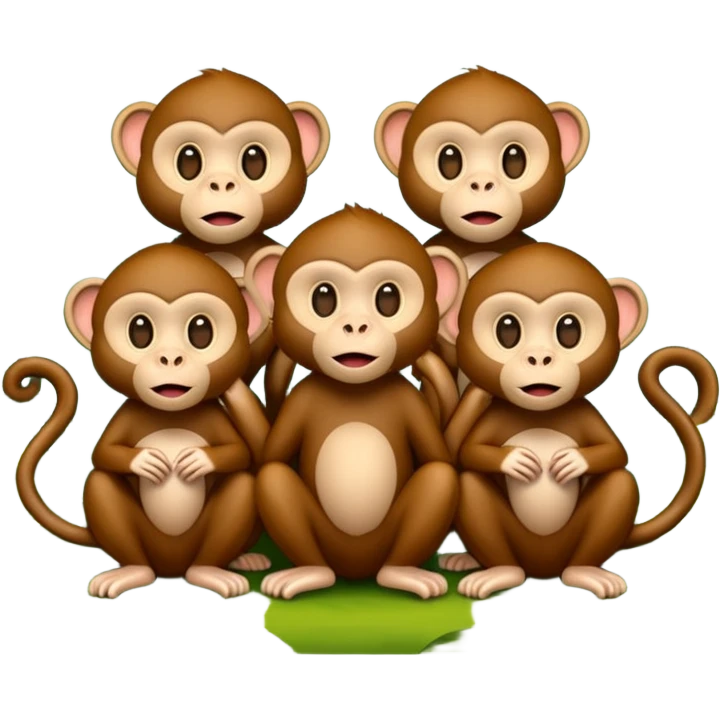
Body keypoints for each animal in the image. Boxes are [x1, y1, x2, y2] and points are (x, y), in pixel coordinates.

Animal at [2, 243, 276, 599]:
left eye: (201, 331)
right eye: (140, 330)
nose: (171, 358)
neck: (171, 413)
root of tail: (172, 569)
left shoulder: (213, 416)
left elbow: (238, 452)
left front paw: (197, 460)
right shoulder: (129, 415)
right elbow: (103, 454)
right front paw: (146, 462)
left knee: (241, 485)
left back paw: (221, 568)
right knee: (101, 484)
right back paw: (131, 572)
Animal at [247, 204, 466, 599]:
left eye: (388, 298)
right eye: (323, 298)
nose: (355, 326)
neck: (356, 390)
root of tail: (356, 573)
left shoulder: (407, 400)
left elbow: (437, 459)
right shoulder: (302, 399)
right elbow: (273, 459)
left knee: (440, 478)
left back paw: (401, 572)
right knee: (273, 479)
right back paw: (310, 572)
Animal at [436, 242, 719, 599]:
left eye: (569, 330)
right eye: (507, 329)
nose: (539, 357)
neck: (539, 412)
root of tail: (542, 568)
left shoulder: (584, 414)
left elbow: (615, 453)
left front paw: (572, 462)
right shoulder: (496, 415)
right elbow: (471, 451)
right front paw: (516, 461)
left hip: (570, 543)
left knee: (620, 483)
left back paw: (586, 572)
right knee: (471, 484)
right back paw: (495, 570)